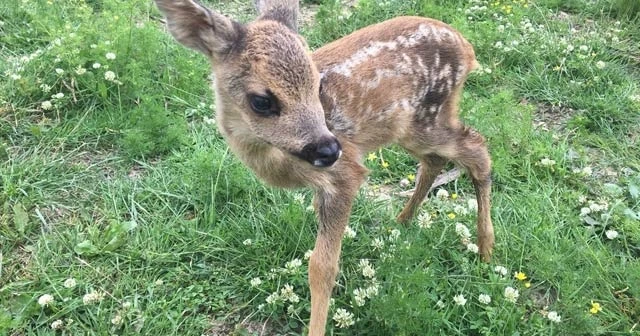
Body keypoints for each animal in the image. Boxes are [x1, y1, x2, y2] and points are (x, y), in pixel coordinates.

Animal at [155, 1, 496, 334]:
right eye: (261, 101)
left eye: (316, 83)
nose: (330, 149)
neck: (276, 160)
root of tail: (467, 48)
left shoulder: (344, 174)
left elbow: (322, 267)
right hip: (410, 127)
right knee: (437, 159)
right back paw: (403, 221)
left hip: (425, 119)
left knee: (477, 148)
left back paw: (485, 252)